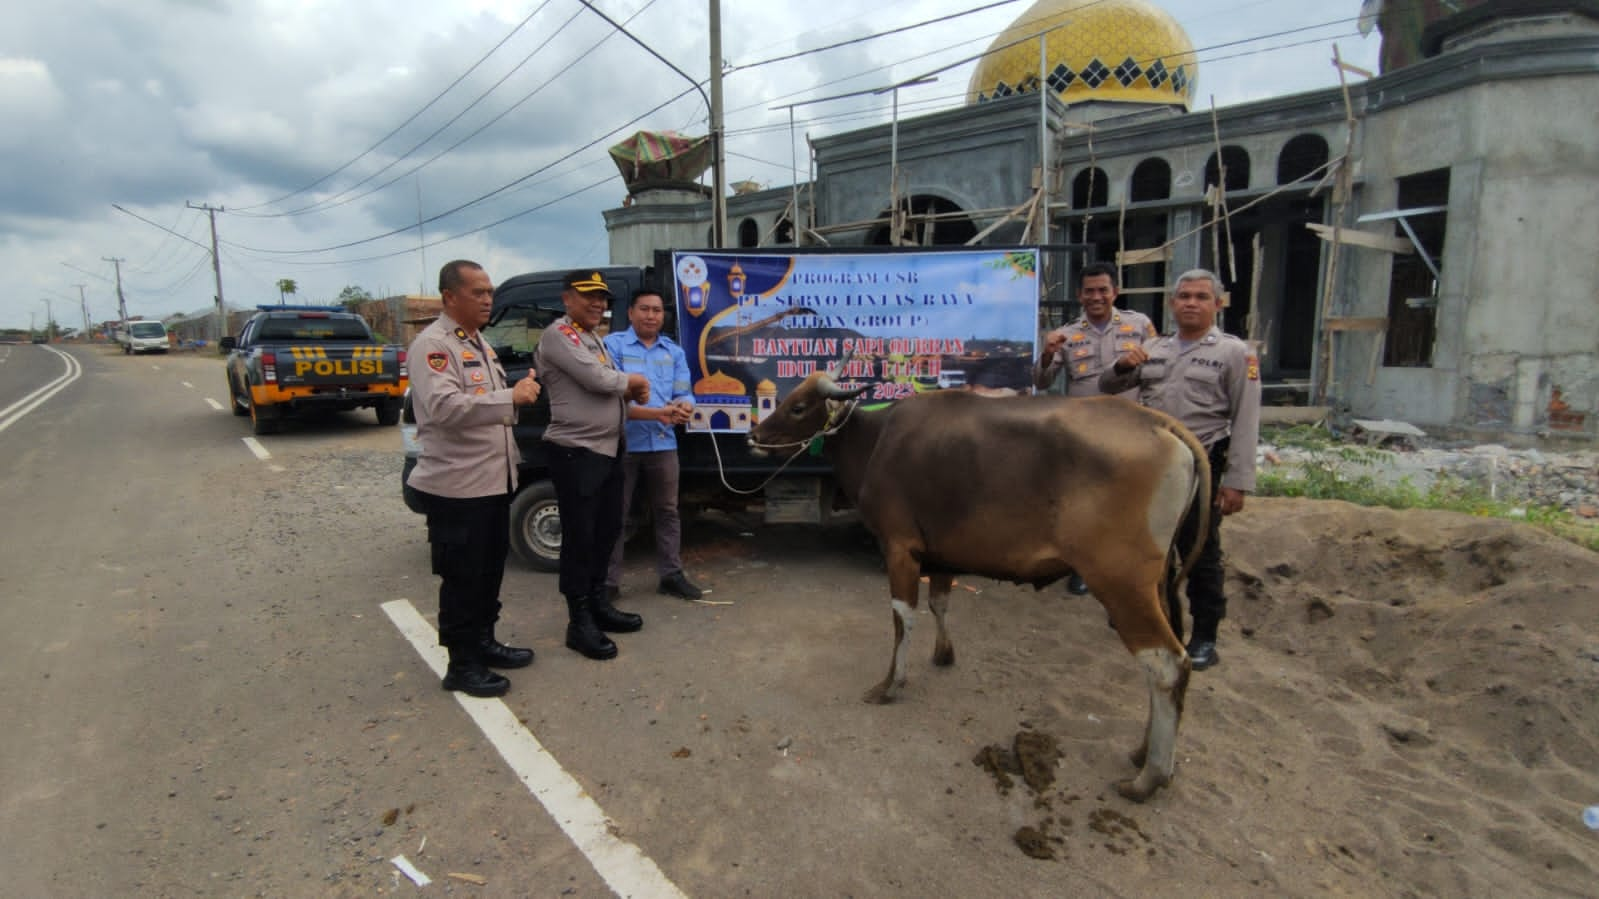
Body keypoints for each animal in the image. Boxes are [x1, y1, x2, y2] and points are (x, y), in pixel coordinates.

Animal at [748, 371, 1208, 796]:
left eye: (798, 407)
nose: (753, 436)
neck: (876, 438)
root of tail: (1162, 423)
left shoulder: (899, 549)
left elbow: (903, 618)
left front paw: (891, 684)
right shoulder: (941, 555)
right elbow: (939, 604)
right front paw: (943, 653)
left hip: (1119, 584)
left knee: (1166, 663)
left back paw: (1150, 776)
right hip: (1156, 585)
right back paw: (1142, 752)